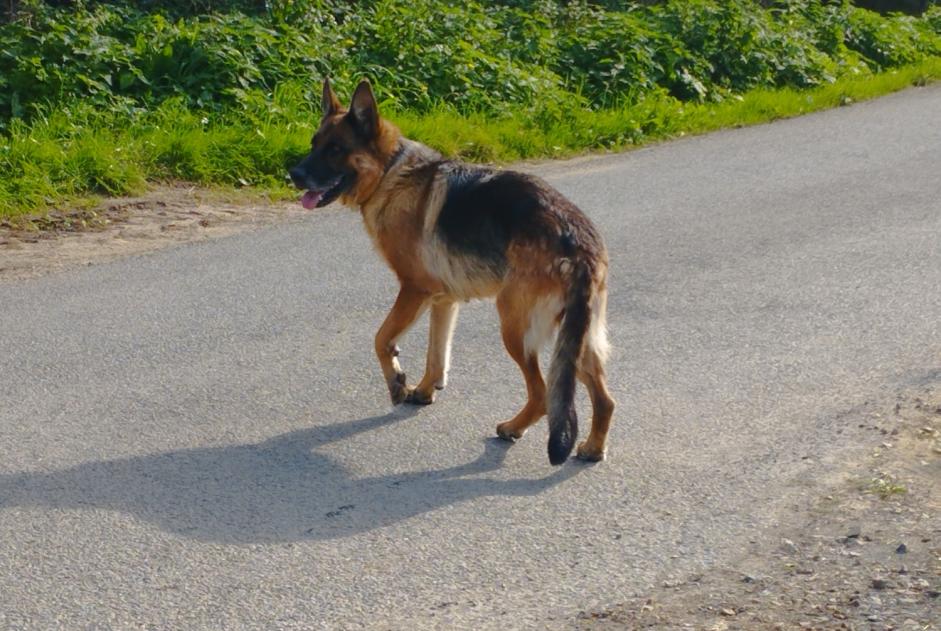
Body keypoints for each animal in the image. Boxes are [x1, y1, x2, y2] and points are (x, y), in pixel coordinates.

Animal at [288, 79, 616, 464]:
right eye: (314, 144)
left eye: (336, 149)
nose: (293, 175)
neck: (389, 173)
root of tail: (579, 244)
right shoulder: (443, 300)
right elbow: (436, 353)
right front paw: (425, 389)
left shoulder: (413, 290)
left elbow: (381, 339)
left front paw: (397, 382)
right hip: (575, 337)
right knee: (605, 399)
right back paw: (593, 447)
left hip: (515, 328)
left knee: (541, 394)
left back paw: (512, 428)